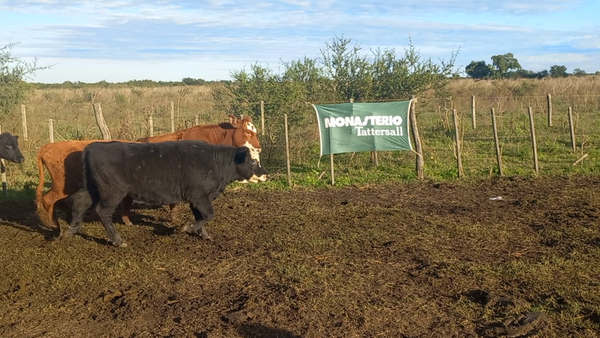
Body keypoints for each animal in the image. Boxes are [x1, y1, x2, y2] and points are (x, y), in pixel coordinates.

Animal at [60, 140, 268, 248]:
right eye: (252, 161)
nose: (266, 174)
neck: (215, 163)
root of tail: (92, 147)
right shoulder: (199, 196)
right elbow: (209, 215)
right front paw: (187, 228)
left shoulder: (196, 199)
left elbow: (201, 217)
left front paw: (203, 234)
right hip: (112, 192)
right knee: (103, 212)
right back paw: (118, 241)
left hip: (92, 188)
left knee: (79, 202)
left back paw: (71, 230)